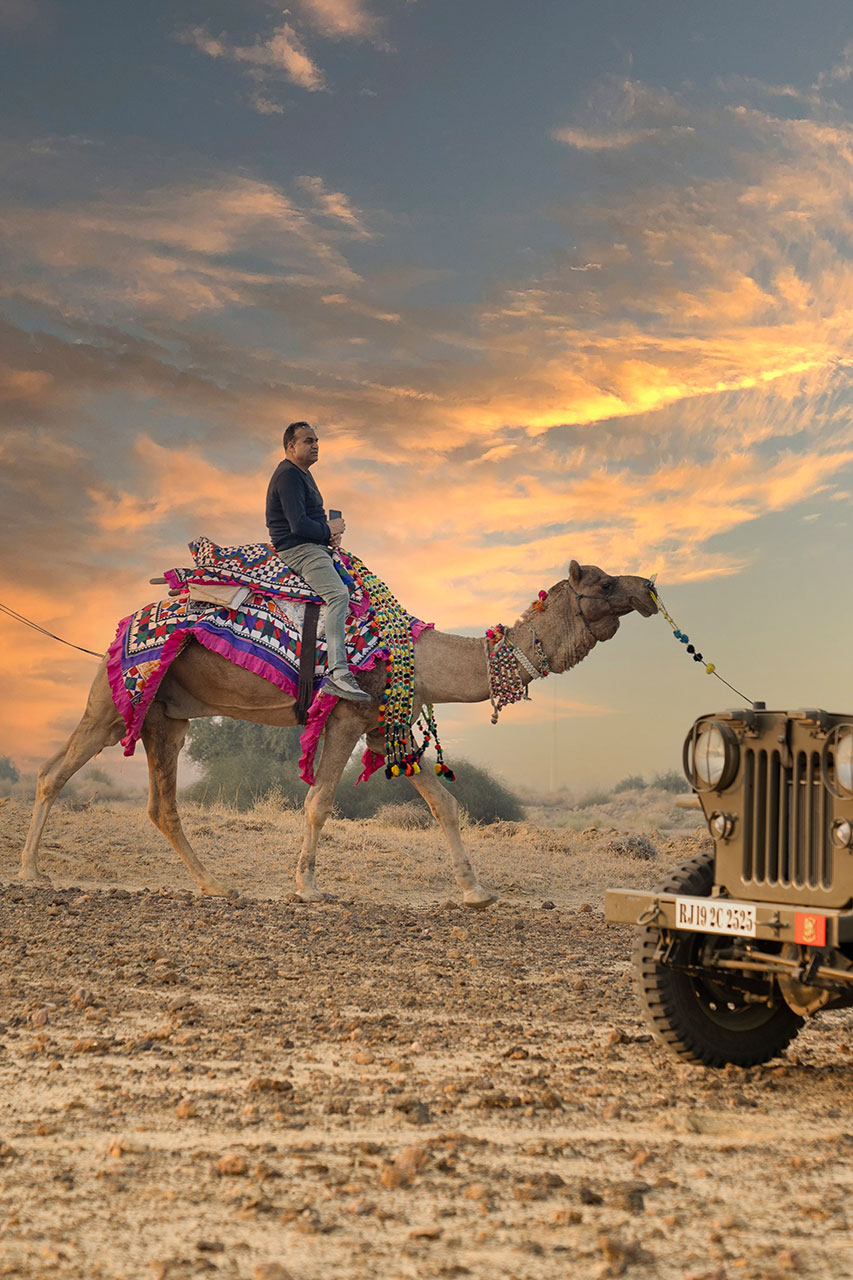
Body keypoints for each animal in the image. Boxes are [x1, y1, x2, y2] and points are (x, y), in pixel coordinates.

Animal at [20, 560, 656, 906]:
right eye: (602, 583)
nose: (649, 586)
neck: (421, 656)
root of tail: (121, 626)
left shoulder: (381, 726)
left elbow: (444, 804)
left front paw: (476, 891)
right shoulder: (348, 715)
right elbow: (320, 800)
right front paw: (308, 887)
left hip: (166, 717)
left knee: (161, 805)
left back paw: (217, 886)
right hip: (114, 700)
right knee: (54, 772)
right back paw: (31, 872)